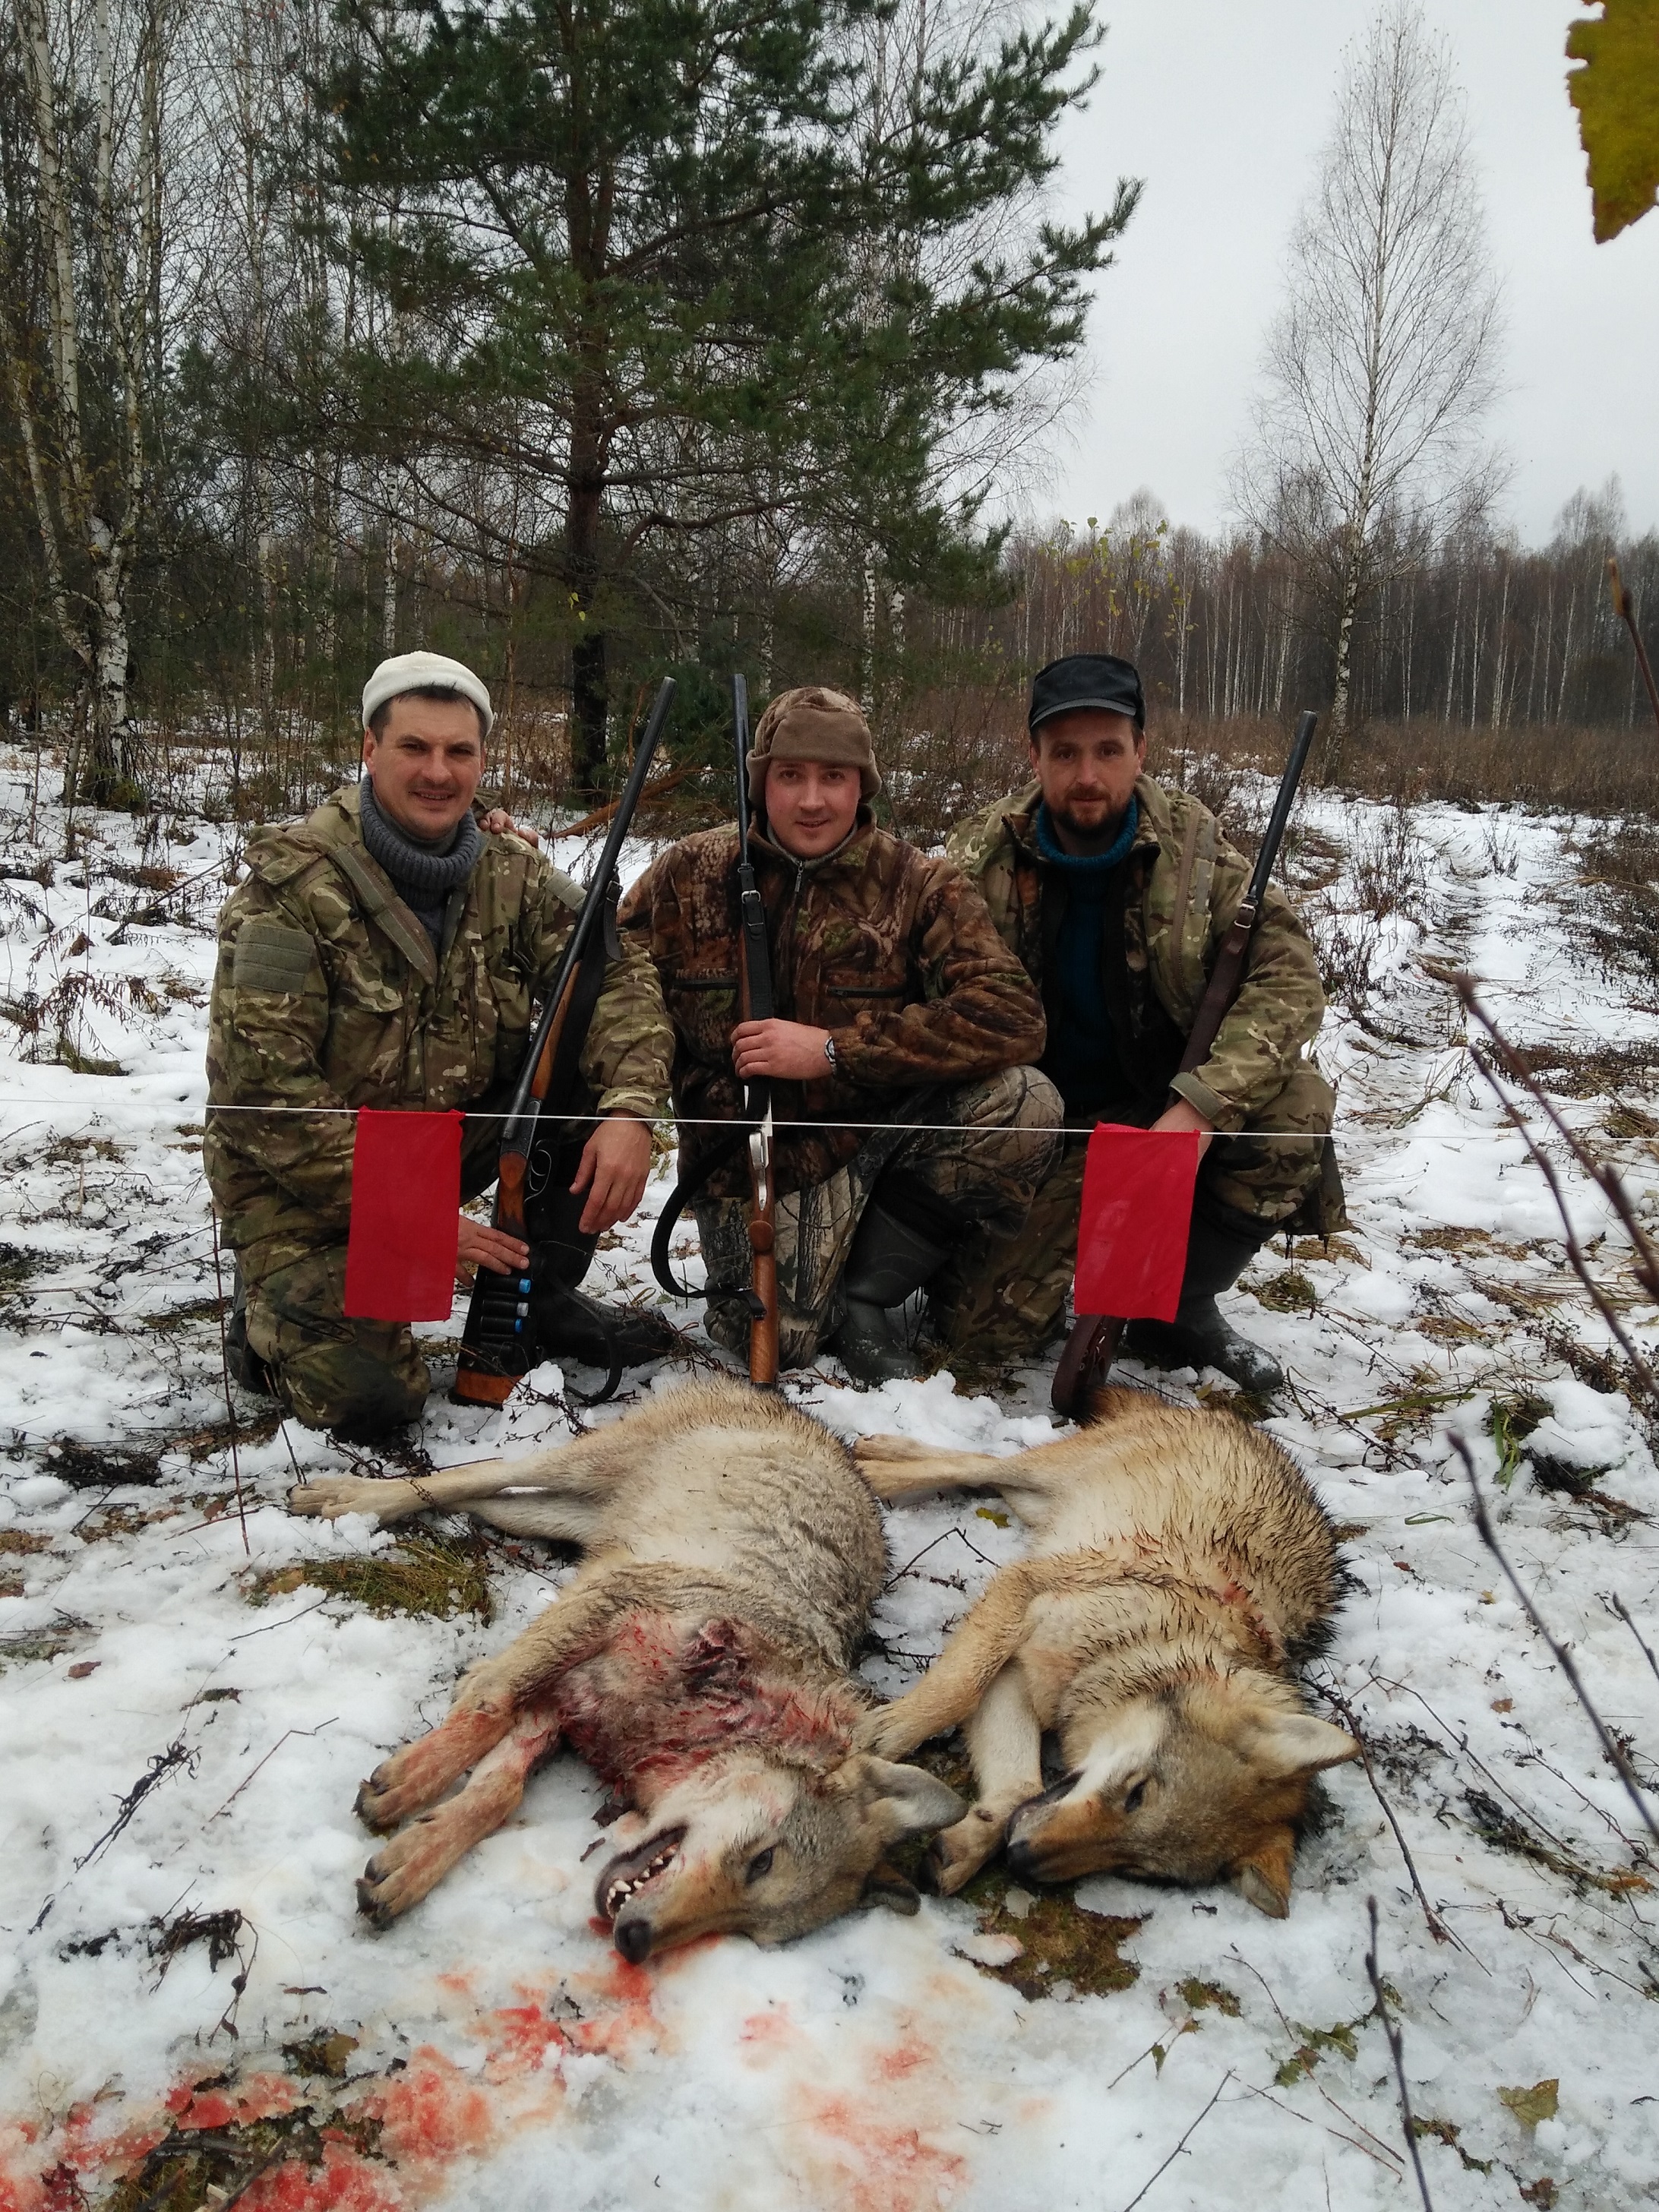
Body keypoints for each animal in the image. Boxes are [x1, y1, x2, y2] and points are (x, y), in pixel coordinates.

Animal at [288, 1378, 962, 1958]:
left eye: (750, 1930)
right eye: (762, 1860)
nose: (635, 1942)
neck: (702, 1726)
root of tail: (781, 1400)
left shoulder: (571, 1697)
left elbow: (499, 1791)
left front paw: (413, 1861)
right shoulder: (612, 1608)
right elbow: (490, 1705)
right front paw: (412, 1781)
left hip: (564, 1519)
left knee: (482, 1498)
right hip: (582, 1472)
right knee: (478, 1474)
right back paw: (344, 1497)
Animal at [852, 1388, 1356, 1916]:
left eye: (1135, 1868)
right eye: (1138, 1792)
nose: (1022, 1860)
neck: (1143, 1646)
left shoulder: (1020, 1682)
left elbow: (1021, 1788)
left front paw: (965, 1849)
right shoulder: (1023, 1594)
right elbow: (957, 1689)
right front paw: (882, 1734)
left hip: (1039, 1506)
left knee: (988, 1470)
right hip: (1054, 1475)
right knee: (982, 1463)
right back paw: (878, 1464)